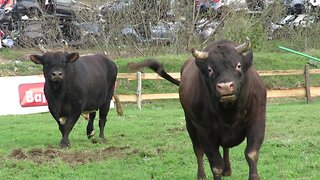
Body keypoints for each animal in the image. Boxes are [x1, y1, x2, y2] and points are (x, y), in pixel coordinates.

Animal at [129, 38, 266, 180]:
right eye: (210, 69)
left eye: (238, 65)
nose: (225, 86)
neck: (229, 112)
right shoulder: (204, 131)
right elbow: (216, 165)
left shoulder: (257, 121)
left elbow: (251, 154)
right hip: (190, 124)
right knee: (198, 151)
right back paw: (201, 175)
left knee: (225, 148)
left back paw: (227, 170)